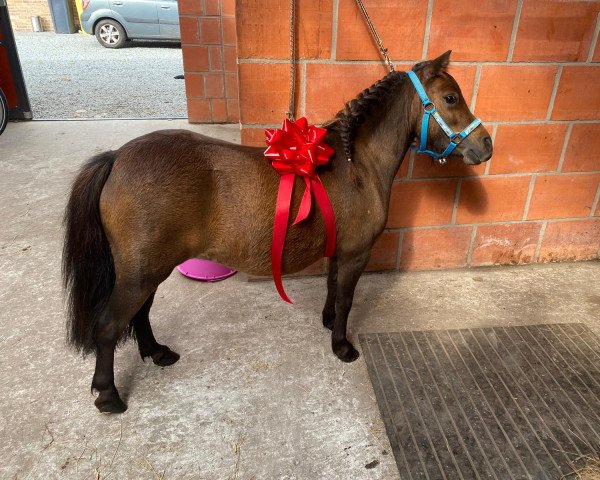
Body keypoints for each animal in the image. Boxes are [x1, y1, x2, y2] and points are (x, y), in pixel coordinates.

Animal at [62, 51, 492, 412]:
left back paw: (157, 353)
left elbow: (333, 288)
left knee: (139, 315)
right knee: (109, 326)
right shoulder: (357, 253)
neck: (357, 165)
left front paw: (327, 322)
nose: (485, 145)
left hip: (147, 270)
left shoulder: (340, 250)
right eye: (450, 98)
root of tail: (117, 158)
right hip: (140, 273)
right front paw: (342, 346)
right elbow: (347, 299)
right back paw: (108, 396)